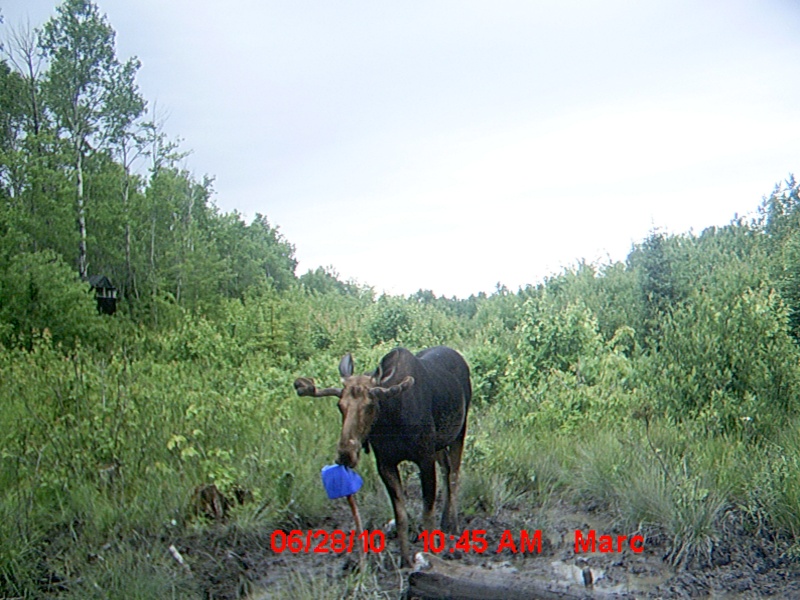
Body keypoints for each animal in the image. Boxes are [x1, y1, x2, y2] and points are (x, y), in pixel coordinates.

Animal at [292, 346, 468, 568]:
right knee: (446, 468)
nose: (345, 455)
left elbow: (427, 514)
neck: (393, 421)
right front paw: (404, 560)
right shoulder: (385, 464)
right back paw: (445, 521)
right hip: (440, 443)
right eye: (340, 406)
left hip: (460, 430)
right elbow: (400, 516)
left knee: (454, 474)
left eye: (370, 405)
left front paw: (431, 555)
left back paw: (453, 525)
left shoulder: (424, 458)